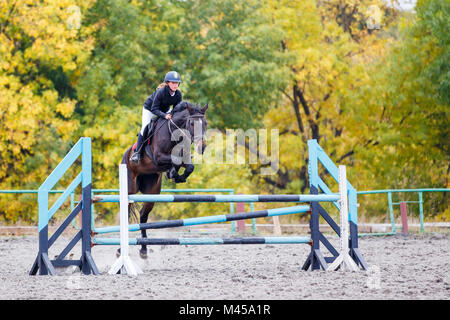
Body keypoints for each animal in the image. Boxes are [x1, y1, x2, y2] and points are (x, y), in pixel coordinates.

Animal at [121, 101, 209, 258]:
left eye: (205, 123)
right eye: (192, 123)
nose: (202, 147)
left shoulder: (183, 157)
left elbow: (188, 165)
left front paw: (177, 175)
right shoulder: (159, 157)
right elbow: (176, 159)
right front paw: (173, 173)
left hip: (152, 192)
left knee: (143, 216)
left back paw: (144, 249)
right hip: (130, 188)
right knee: (127, 212)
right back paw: (120, 250)